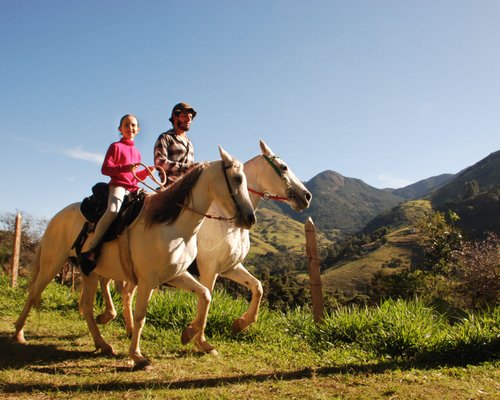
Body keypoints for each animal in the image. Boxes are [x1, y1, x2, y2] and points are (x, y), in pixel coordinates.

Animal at [13, 147, 256, 368]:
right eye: (237, 178)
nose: (250, 218)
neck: (172, 226)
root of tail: (58, 216)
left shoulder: (176, 275)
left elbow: (205, 295)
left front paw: (189, 334)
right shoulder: (148, 281)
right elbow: (140, 317)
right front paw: (137, 356)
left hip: (89, 272)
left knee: (86, 307)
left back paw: (103, 344)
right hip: (52, 263)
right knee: (34, 292)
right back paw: (19, 334)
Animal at [98, 141, 312, 346]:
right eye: (283, 167)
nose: (306, 196)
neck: (227, 222)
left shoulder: (231, 268)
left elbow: (257, 287)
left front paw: (240, 323)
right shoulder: (209, 270)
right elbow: (206, 299)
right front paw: (195, 335)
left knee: (125, 291)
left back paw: (128, 328)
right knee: (111, 284)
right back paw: (111, 318)